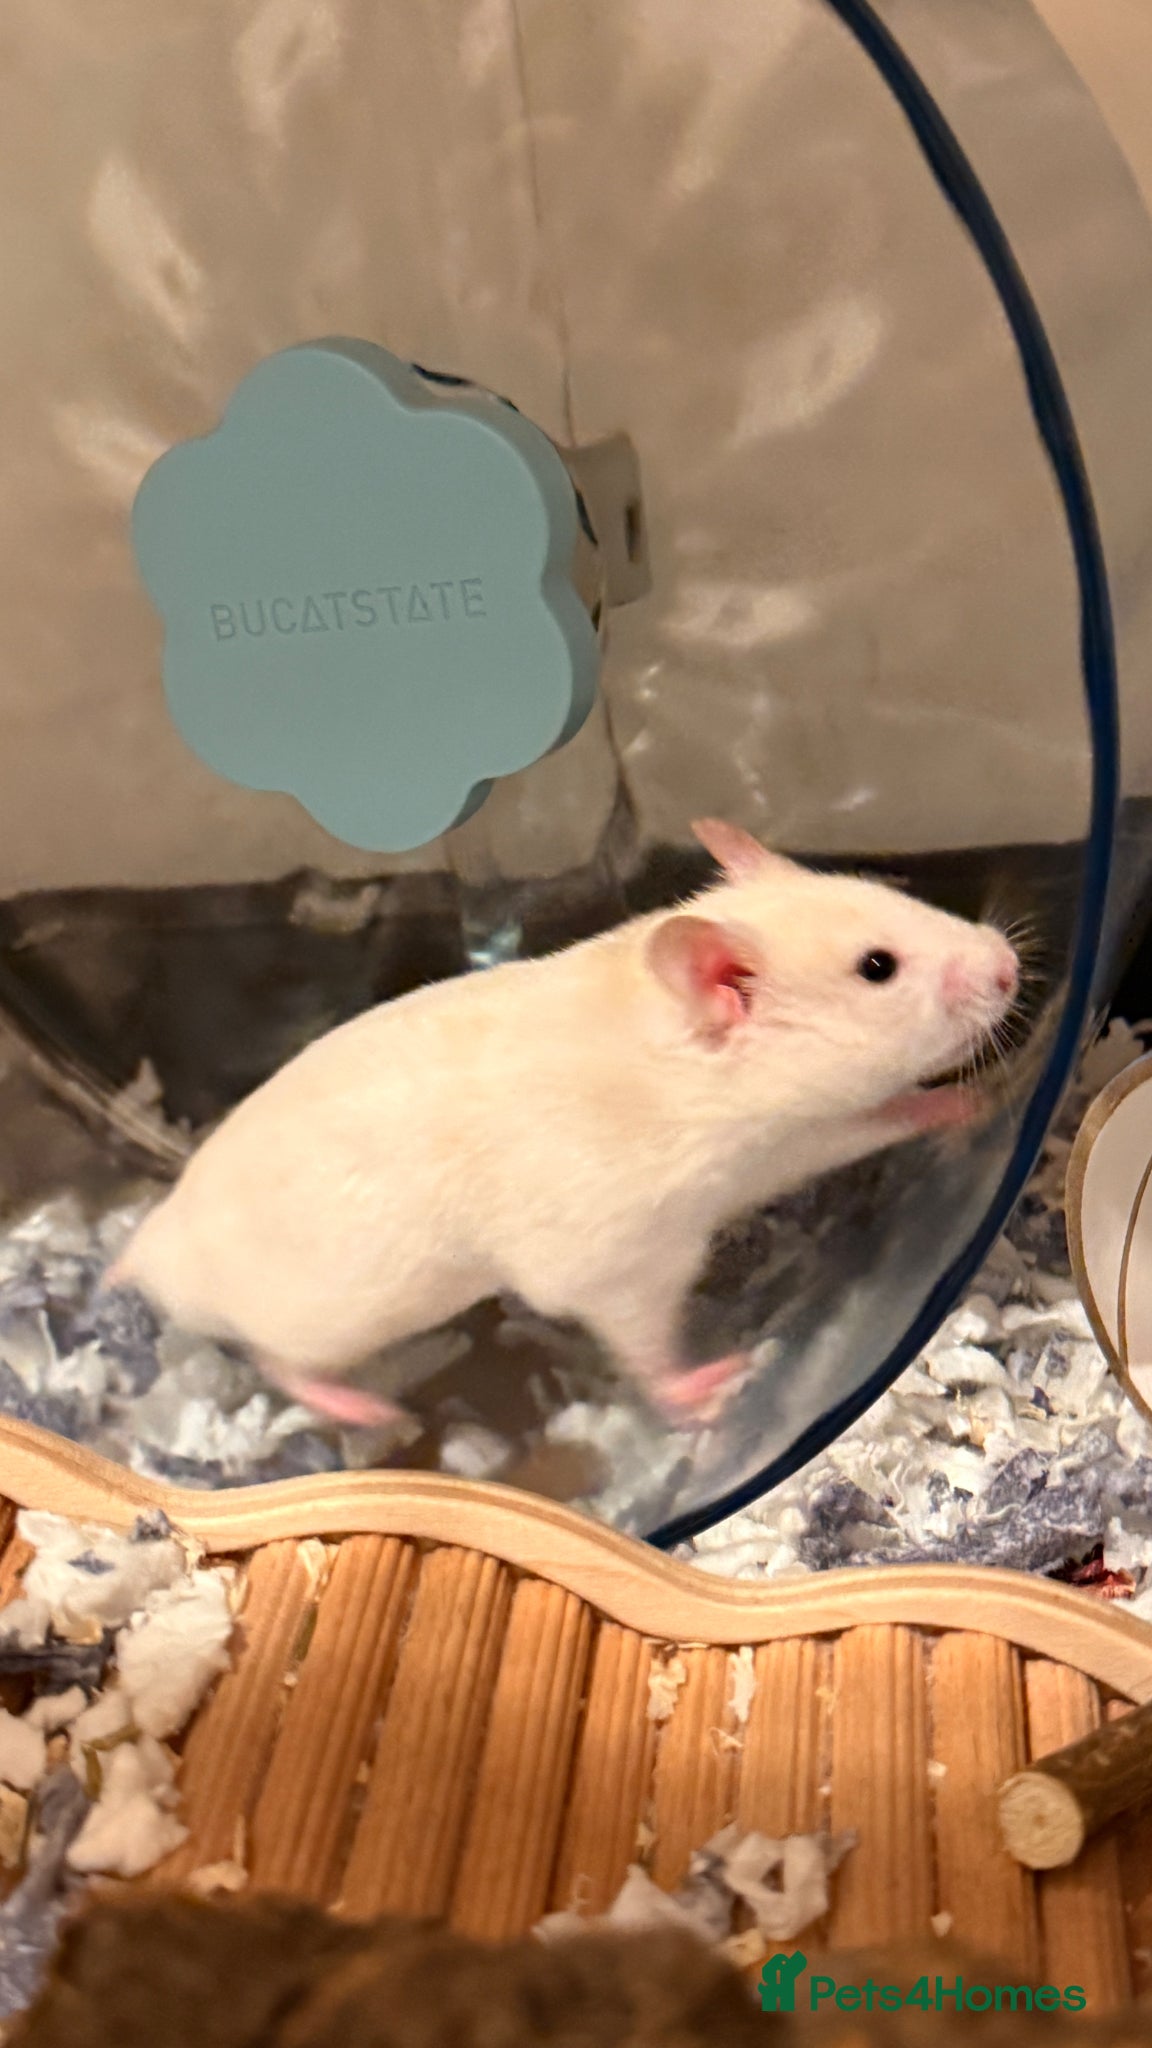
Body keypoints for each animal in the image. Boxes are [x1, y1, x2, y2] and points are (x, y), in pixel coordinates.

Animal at [108, 820, 1019, 1428]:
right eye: (878, 968)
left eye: (885, 889)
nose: (1011, 962)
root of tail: (151, 1248)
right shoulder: (626, 1256)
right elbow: (640, 1339)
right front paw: (710, 1386)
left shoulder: (787, 1148)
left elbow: (870, 1121)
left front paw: (977, 1095)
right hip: (320, 1318)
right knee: (276, 1362)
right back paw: (367, 1411)